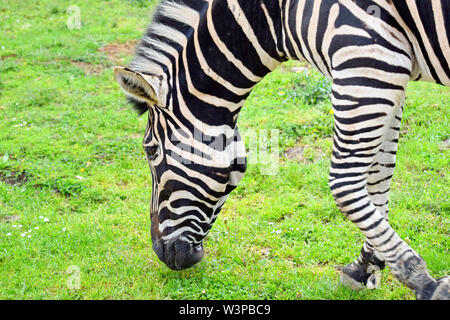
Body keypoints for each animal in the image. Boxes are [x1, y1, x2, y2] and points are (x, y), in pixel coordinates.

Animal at [115, 0, 450, 300]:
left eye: (150, 152)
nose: (161, 253)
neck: (275, 16)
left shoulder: (365, 59)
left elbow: (343, 184)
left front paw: (423, 281)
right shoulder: (387, 74)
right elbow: (380, 175)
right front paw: (366, 267)